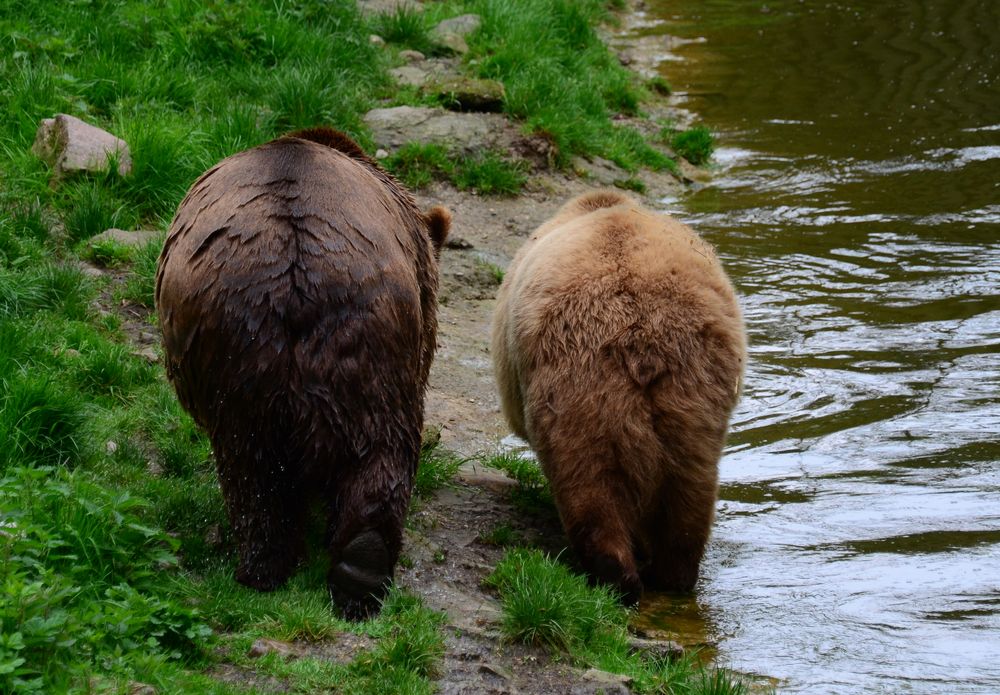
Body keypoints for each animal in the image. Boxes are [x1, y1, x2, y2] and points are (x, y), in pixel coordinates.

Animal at [155, 126, 450, 620]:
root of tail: (295, 271)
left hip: (248, 343)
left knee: (255, 467)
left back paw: (287, 568)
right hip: (345, 338)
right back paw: (348, 570)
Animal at [490, 188, 744, 600]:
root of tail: (640, 332)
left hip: (577, 382)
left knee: (589, 480)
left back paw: (614, 574)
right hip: (694, 391)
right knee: (689, 490)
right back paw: (673, 575)